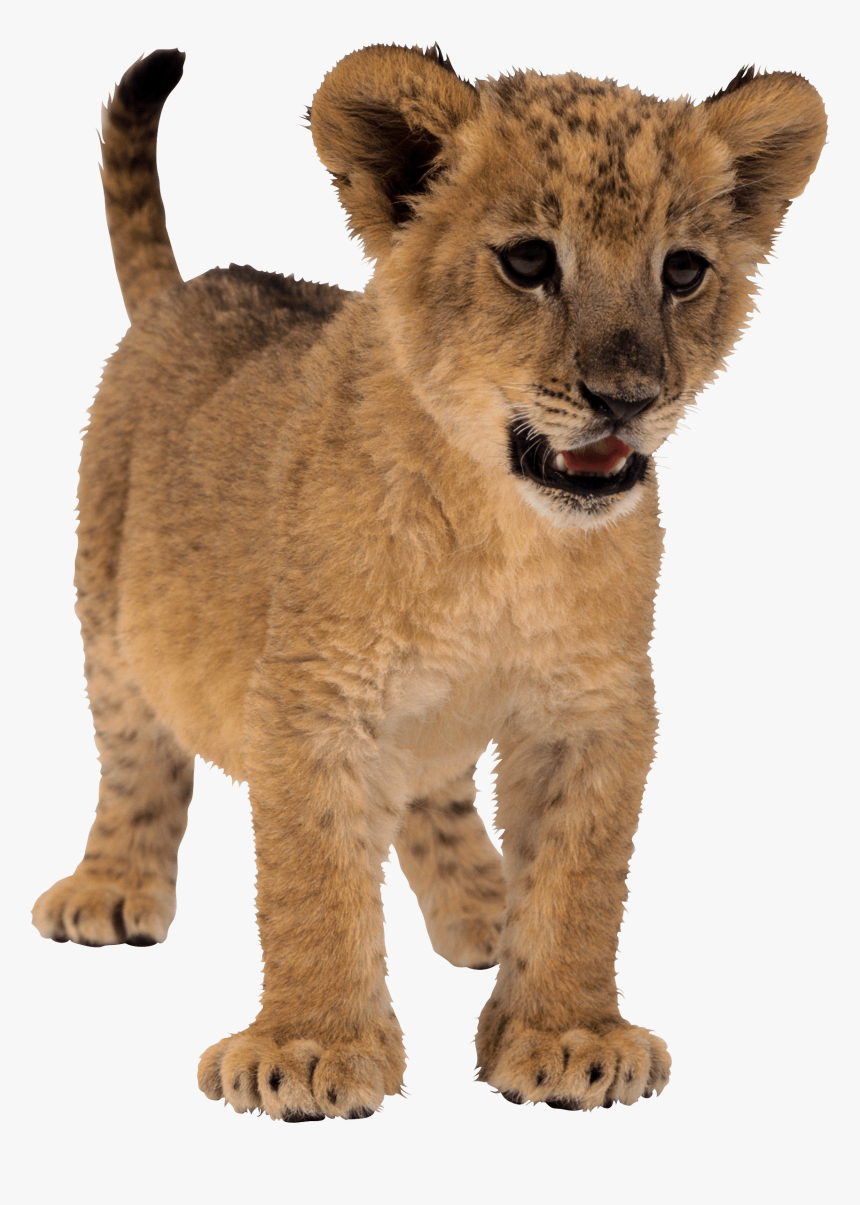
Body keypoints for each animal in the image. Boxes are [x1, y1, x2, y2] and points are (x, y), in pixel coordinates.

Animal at [32, 45, 826, 1120]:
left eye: (682, 271)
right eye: (528, 262)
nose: (627, 398)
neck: (503, 534)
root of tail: (191, 289)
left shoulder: (597, 702)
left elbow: (580, 876)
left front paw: (567, 1034)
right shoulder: (309, 694)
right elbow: (312, 876)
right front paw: (310, 1048)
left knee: (434, 791)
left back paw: (484, 909)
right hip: (106, 604)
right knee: (133, 753)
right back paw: (110, 887)